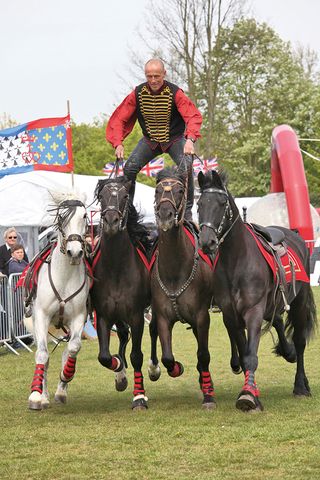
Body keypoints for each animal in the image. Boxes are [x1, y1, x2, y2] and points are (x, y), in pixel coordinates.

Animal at [26, 190, 90, 408]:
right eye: (62, 217)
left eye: (84, 216)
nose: (75, 252)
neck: (65, 277)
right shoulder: (42, 316)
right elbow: (42, 355)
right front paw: (36, 396)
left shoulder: (78, 318)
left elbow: (73, 348)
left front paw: (64, 380)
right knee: (43, 357)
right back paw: (43, 395)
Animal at [91, 176, 152, 408]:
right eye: (101, 196)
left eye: (126, 196)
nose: (111, 221)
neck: (116, 267)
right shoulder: (103, 315)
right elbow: (104, 356)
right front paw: (119, 372)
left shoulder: (136, 315)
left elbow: (136, 355)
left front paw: (139, 397)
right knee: (123, 335)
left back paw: (155, 368)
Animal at [149, 166, 216, 408]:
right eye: (157, 191)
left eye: (179, 191)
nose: (165, 216)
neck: (175, 270)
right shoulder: (162, 317)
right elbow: (168, 357)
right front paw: (176, 368)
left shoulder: (201, 316)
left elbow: (203, 354)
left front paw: (208, 394)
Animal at [198, 170, 318, 412]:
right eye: (199, 203)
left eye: (222, 203)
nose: (207, 242)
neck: (236, 262)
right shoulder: (231, 316)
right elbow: (244, 354)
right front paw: (251, 390)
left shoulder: (253, 311)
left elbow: (251, 356)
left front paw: (248, 396)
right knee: (279, 321)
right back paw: (287, 352)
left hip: (299, 303)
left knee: (300, 342)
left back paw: (301, 385)